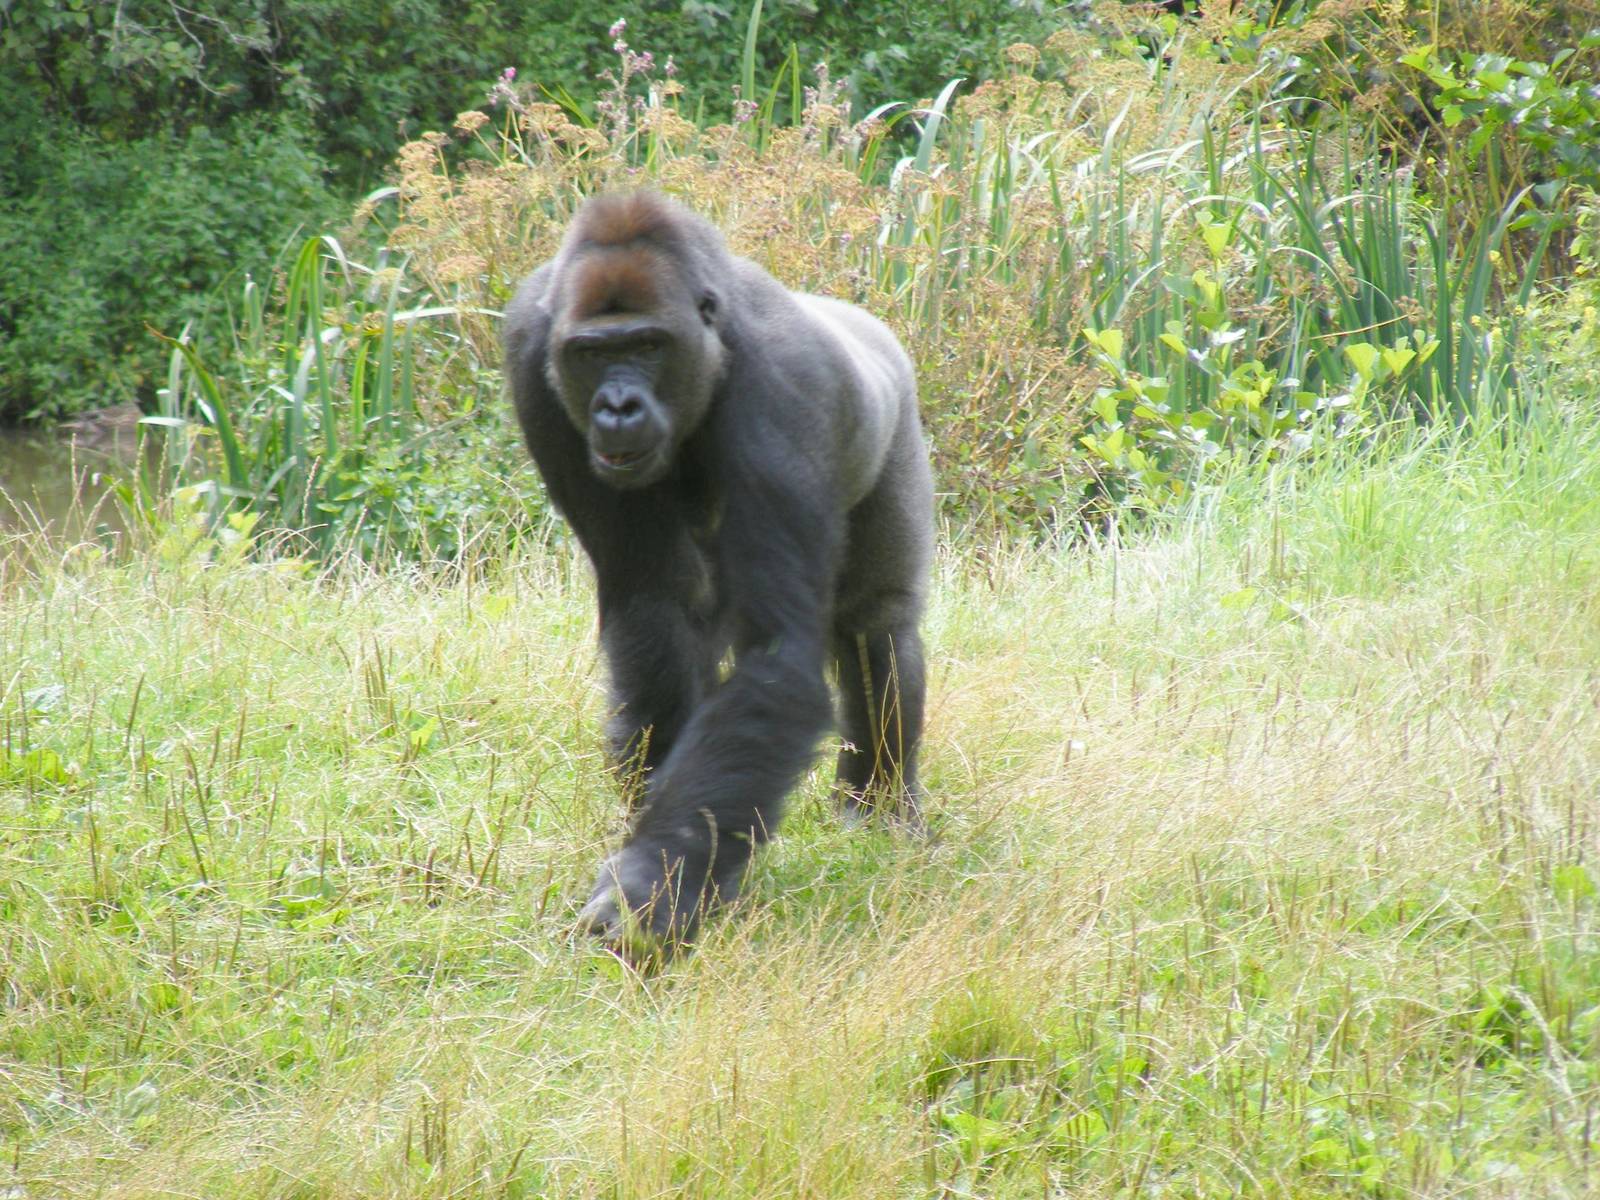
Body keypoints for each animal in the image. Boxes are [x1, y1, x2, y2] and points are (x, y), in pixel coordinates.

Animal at [503, 191, 934, 955]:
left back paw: (879, 808)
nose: (617, 407)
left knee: (877, 624)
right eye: (593, 353)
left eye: (646, 346)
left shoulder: (782, 385)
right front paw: (677, 873)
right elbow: (658, 611)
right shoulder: (533, 356)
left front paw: (651, 883)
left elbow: (777, 655)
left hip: (897, 416)